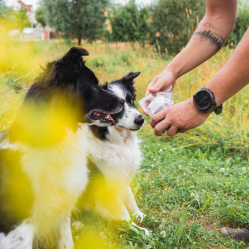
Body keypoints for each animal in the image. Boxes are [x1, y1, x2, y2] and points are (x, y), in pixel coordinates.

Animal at [80, 71, 149, 235]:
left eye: (131, 100)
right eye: (118, 108)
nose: (141, 119)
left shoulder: (122, 178)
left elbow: (130, 199)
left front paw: (140, 216)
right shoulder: (106, 189)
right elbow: (123, 212)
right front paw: (139, 231)